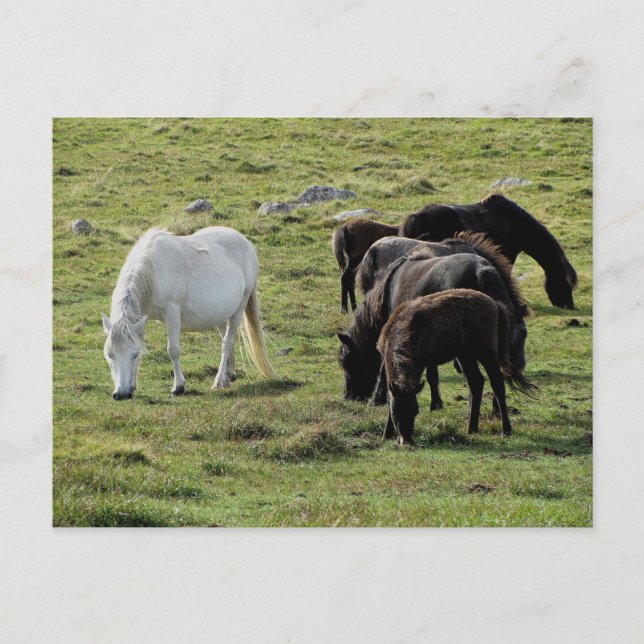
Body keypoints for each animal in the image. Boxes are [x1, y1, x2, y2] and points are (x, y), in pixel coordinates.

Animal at [101, 226, 278, 400]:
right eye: (110, 354)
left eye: (134, 355)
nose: (121, 394)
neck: (152, 270)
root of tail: (246, 242)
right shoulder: (140, 320)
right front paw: (133, 385)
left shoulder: (171, 312)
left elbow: (173, 350)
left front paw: (178, 386)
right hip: (222, 314)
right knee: (227, 339)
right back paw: (228, 376)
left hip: (239, 308)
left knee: (227, 343)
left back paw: (218, 381)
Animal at [377, 289, 535, 445]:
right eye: (395, 412)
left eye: (415, 410)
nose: (406, 440)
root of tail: (495, 304)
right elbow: (389, 395)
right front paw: (386, 435)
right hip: (465, 354)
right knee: (476, 381)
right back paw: (471, 428)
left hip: (486, 351)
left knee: (497, 382)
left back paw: (506, 430)